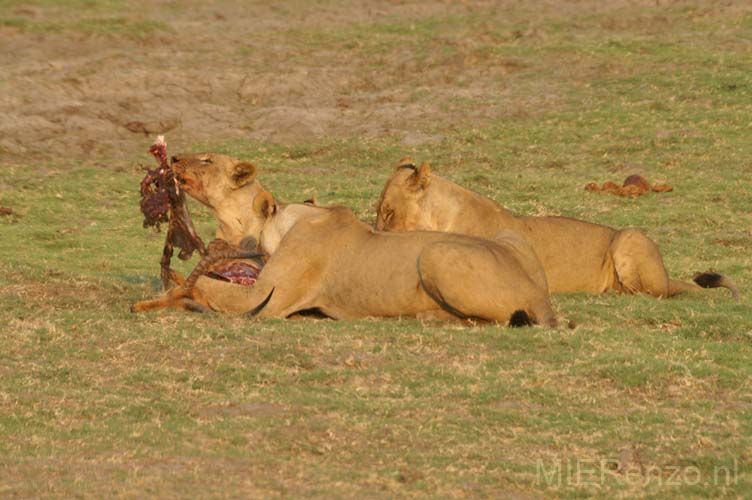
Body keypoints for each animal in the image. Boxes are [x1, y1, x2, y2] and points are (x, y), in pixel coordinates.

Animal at [135, 189, 560, 326]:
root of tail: (541, 298)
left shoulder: (265, 300)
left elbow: (208, 287)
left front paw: (166, 294)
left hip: (435, 253)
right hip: (508, 237)